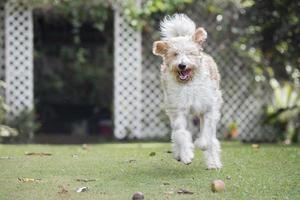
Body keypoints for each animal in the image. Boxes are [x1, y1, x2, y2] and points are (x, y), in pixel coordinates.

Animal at [152, 13, 223, 169]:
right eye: (175, 54)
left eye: (190, 53)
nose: (182, 65)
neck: (189, 85)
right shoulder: (178, 110)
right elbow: (181, 134)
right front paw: (185, 155)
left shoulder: (208, 109)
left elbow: (207, 132)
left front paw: (202, 144)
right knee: (177, 134)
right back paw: (179, 153)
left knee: (212, 139)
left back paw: (213, 162)